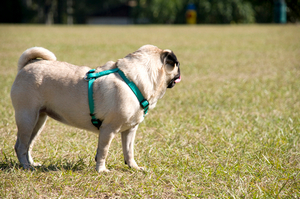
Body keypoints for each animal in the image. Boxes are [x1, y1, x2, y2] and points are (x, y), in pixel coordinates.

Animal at [10, 45, 180, 173]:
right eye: (177, 66)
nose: (179, 73)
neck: (133, 80)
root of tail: (27, 66)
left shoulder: (130, 130)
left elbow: (129, 151)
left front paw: (134, 167)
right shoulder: (108, 129)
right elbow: (103, 150)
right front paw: (102, 170)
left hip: (39, 120)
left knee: (28, 144)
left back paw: (32, 164)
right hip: (27, 117)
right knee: (20, 146)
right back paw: (26, 167)